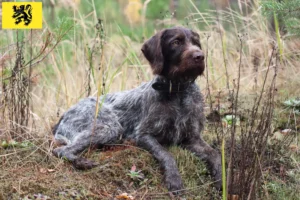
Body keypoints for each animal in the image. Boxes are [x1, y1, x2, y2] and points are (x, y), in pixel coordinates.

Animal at [52, 26, 223, 192]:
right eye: (176, 42)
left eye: (196, 42)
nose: (200, 56)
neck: (177, 91)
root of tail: (65, 114)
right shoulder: (143, 135)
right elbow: (166, 154)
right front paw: (174, 178)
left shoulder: (192, 138)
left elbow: (214, 154)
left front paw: (221, 179)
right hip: (109, 127)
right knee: (61, 151)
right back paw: (83, 162)